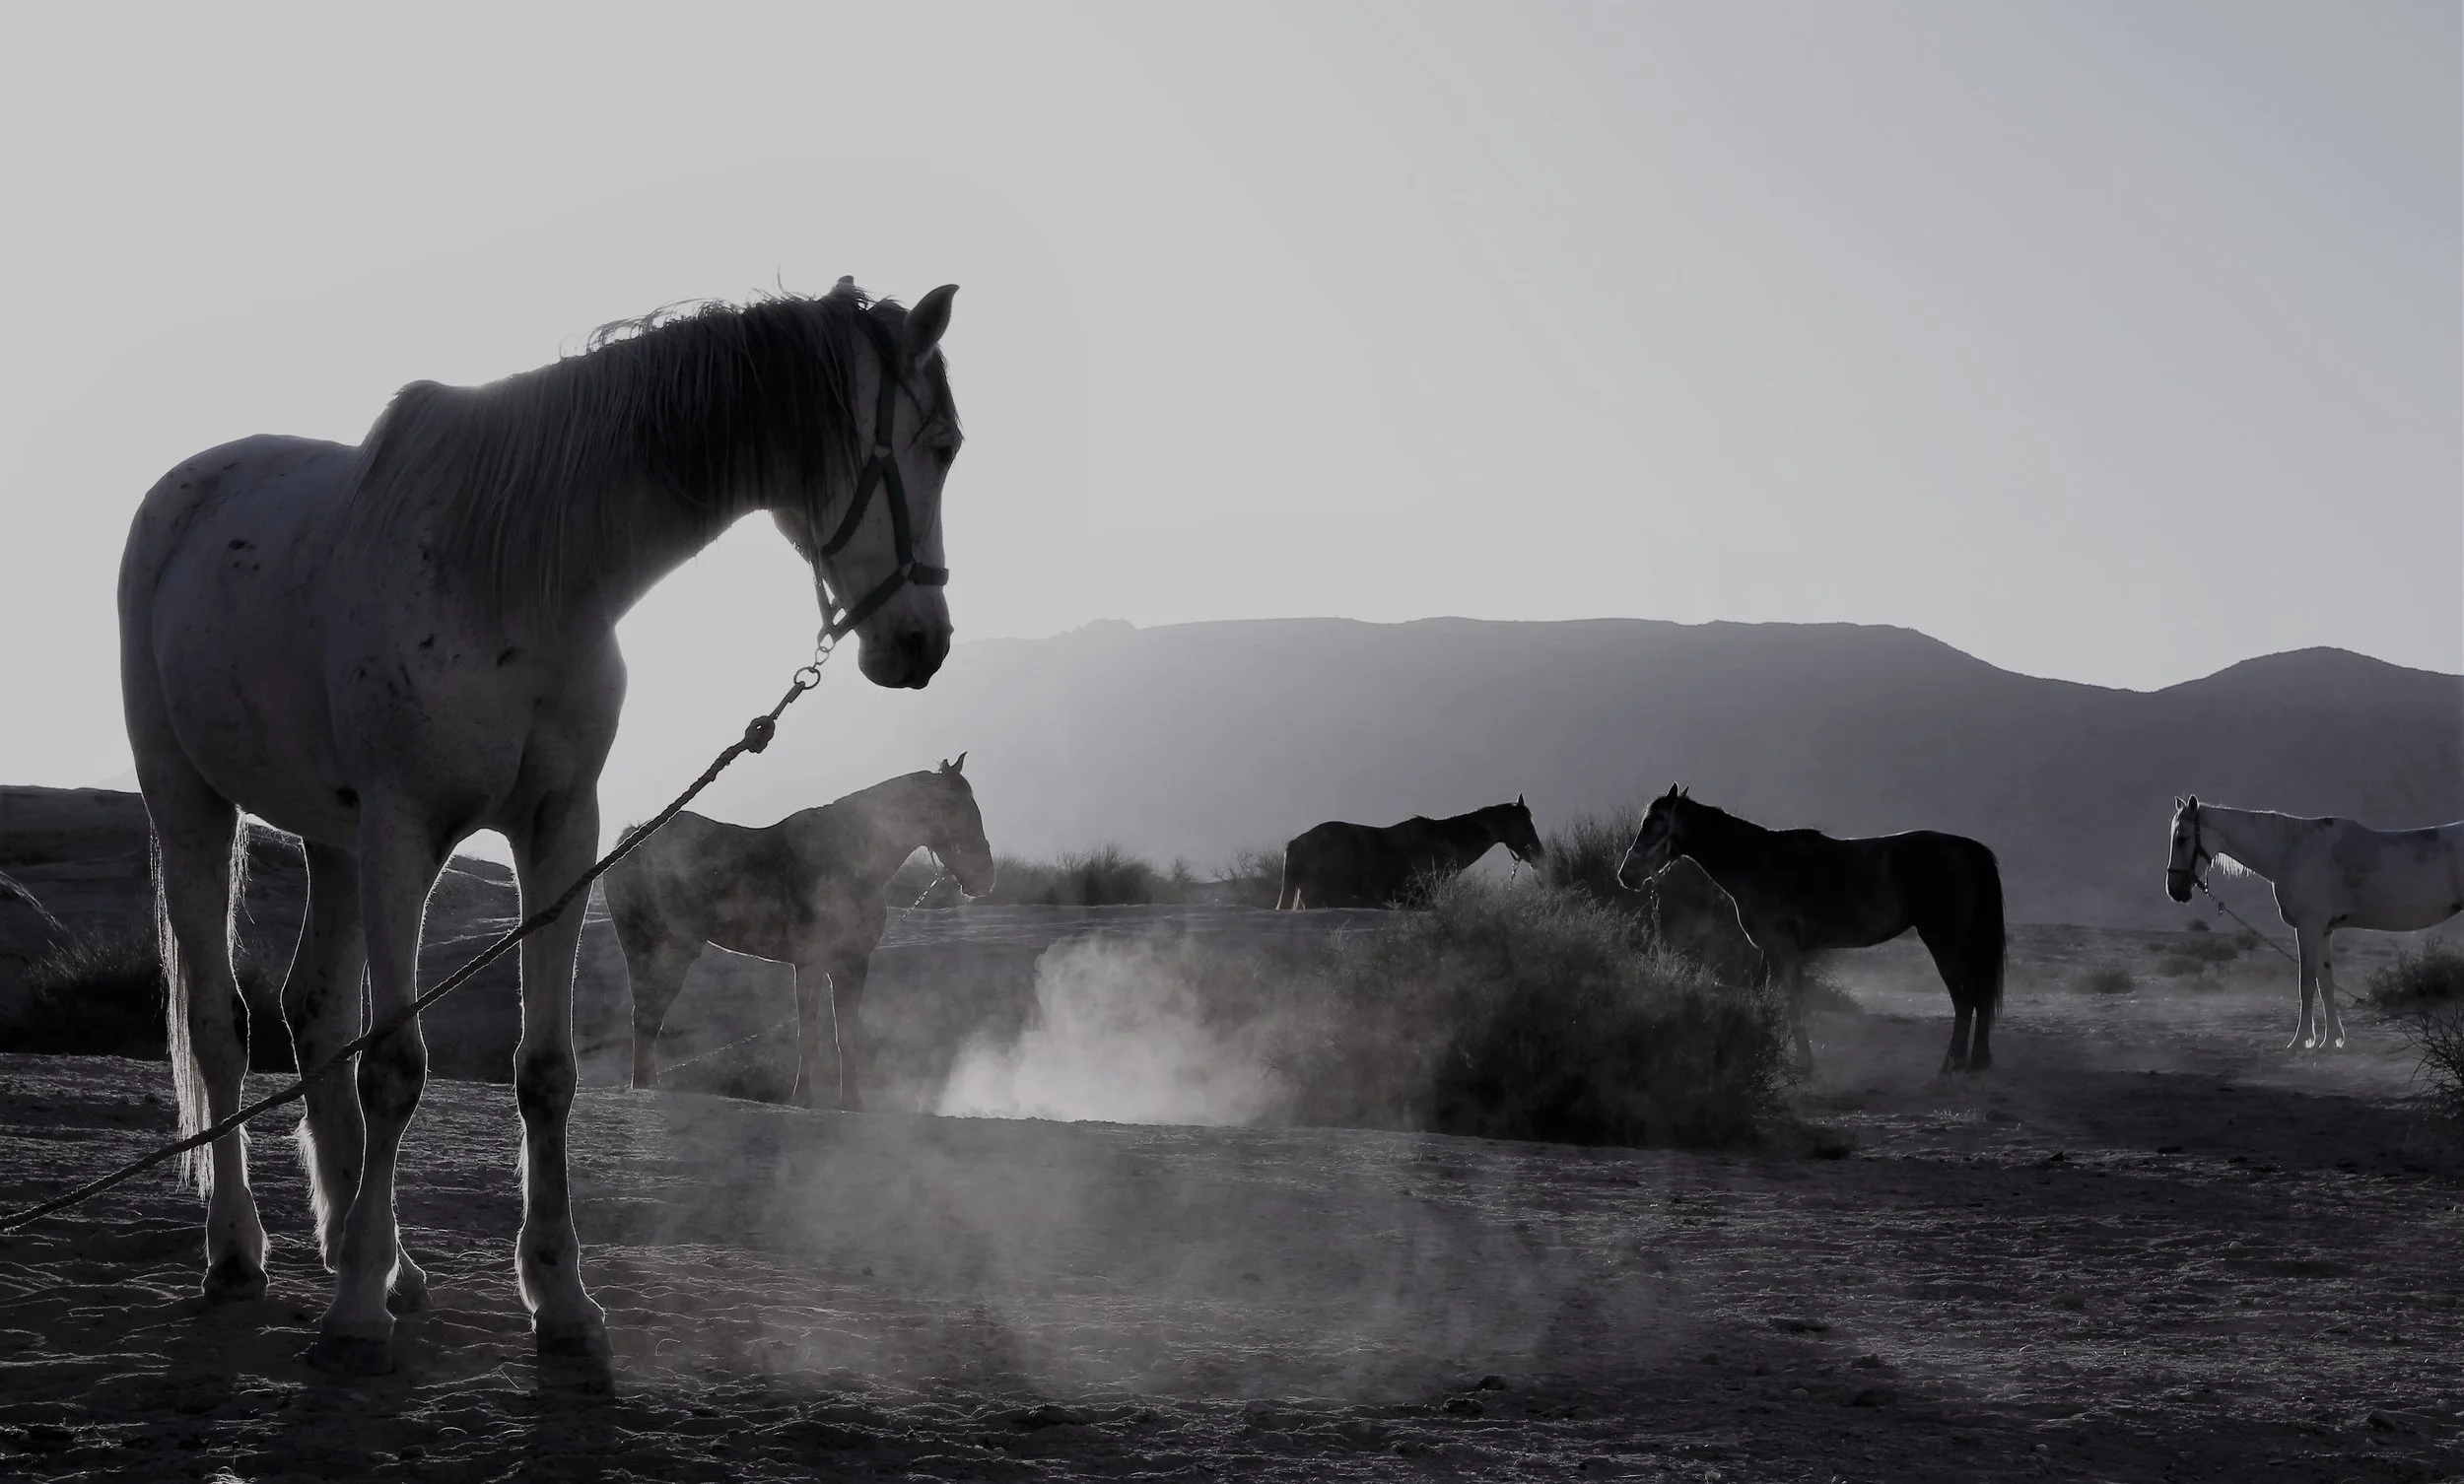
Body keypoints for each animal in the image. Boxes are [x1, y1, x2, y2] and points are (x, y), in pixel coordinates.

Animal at [606, 757, 995, 1110]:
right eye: (955, 809)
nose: (985, 878)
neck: (850, 861)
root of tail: (633, 840)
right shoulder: (812, 963)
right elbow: (809, 1035)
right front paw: (804, 1098)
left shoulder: (850, 965)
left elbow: (845, 1035)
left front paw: (851, 1102)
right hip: (663, 949)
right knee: (648, 1013)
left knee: (649, 1015)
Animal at [1616, 786, 2005, 1072]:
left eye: (1655, 824)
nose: (1626, 875)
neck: (1756, 861)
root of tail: (1967, 849)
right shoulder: (1775, 952)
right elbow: (1775, 998)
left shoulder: (1782, 949)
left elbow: (1790, 1004)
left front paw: (1802, 1063)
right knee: (1977, 997)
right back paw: (1975, 1062)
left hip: (1945, 942)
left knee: (1965, 999)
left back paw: (1952, 1064)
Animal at [2164, 796, 2464, 1050]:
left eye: (2182, 838)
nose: (2175, 890)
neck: (2290, 850)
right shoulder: (2324, 930)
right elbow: (2325, 983)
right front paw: (2331, 1040)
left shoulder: (2308, 927)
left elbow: (2306, 983)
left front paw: (2301, 1040)